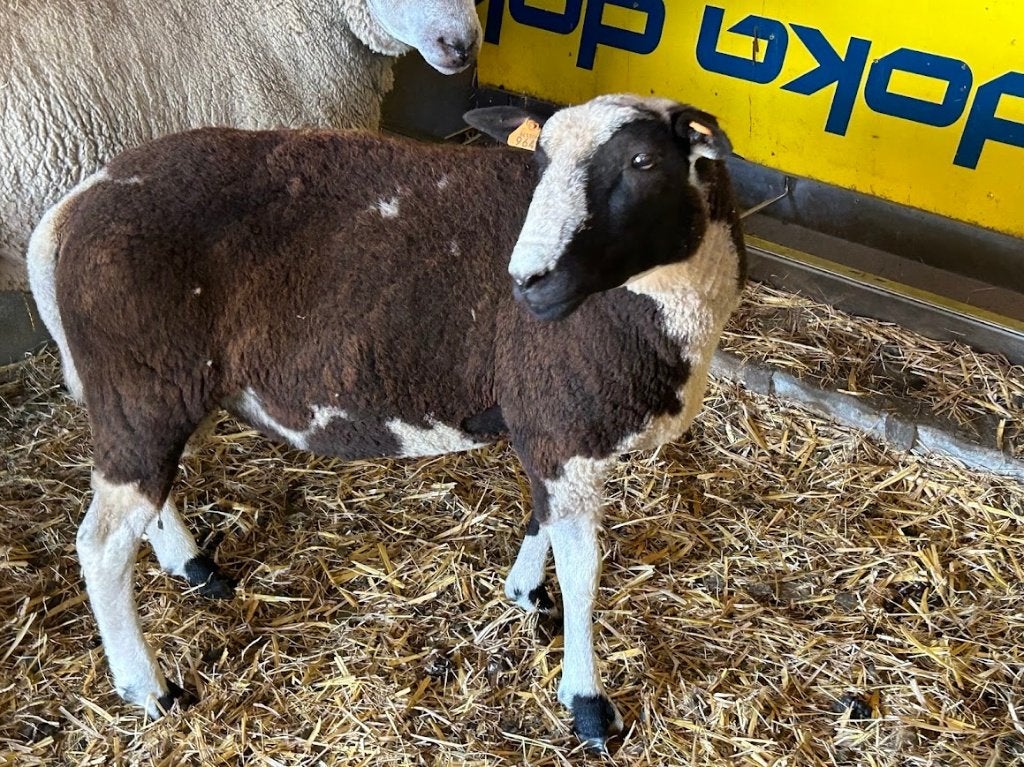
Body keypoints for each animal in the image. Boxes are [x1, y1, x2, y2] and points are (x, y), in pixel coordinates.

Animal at [27, 93, 746, 749]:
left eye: (644, 161)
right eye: (539, 163)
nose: (526, 281)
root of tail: (68, 211)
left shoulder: (545, 429)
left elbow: (540, 519)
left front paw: (523, 592)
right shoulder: (563, 422)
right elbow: (584, 568)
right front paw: (588, 704)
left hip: (170, 390)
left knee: (149, 500)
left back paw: (192, 566)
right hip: (139, 385)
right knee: (102, 543)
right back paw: (150, 688)